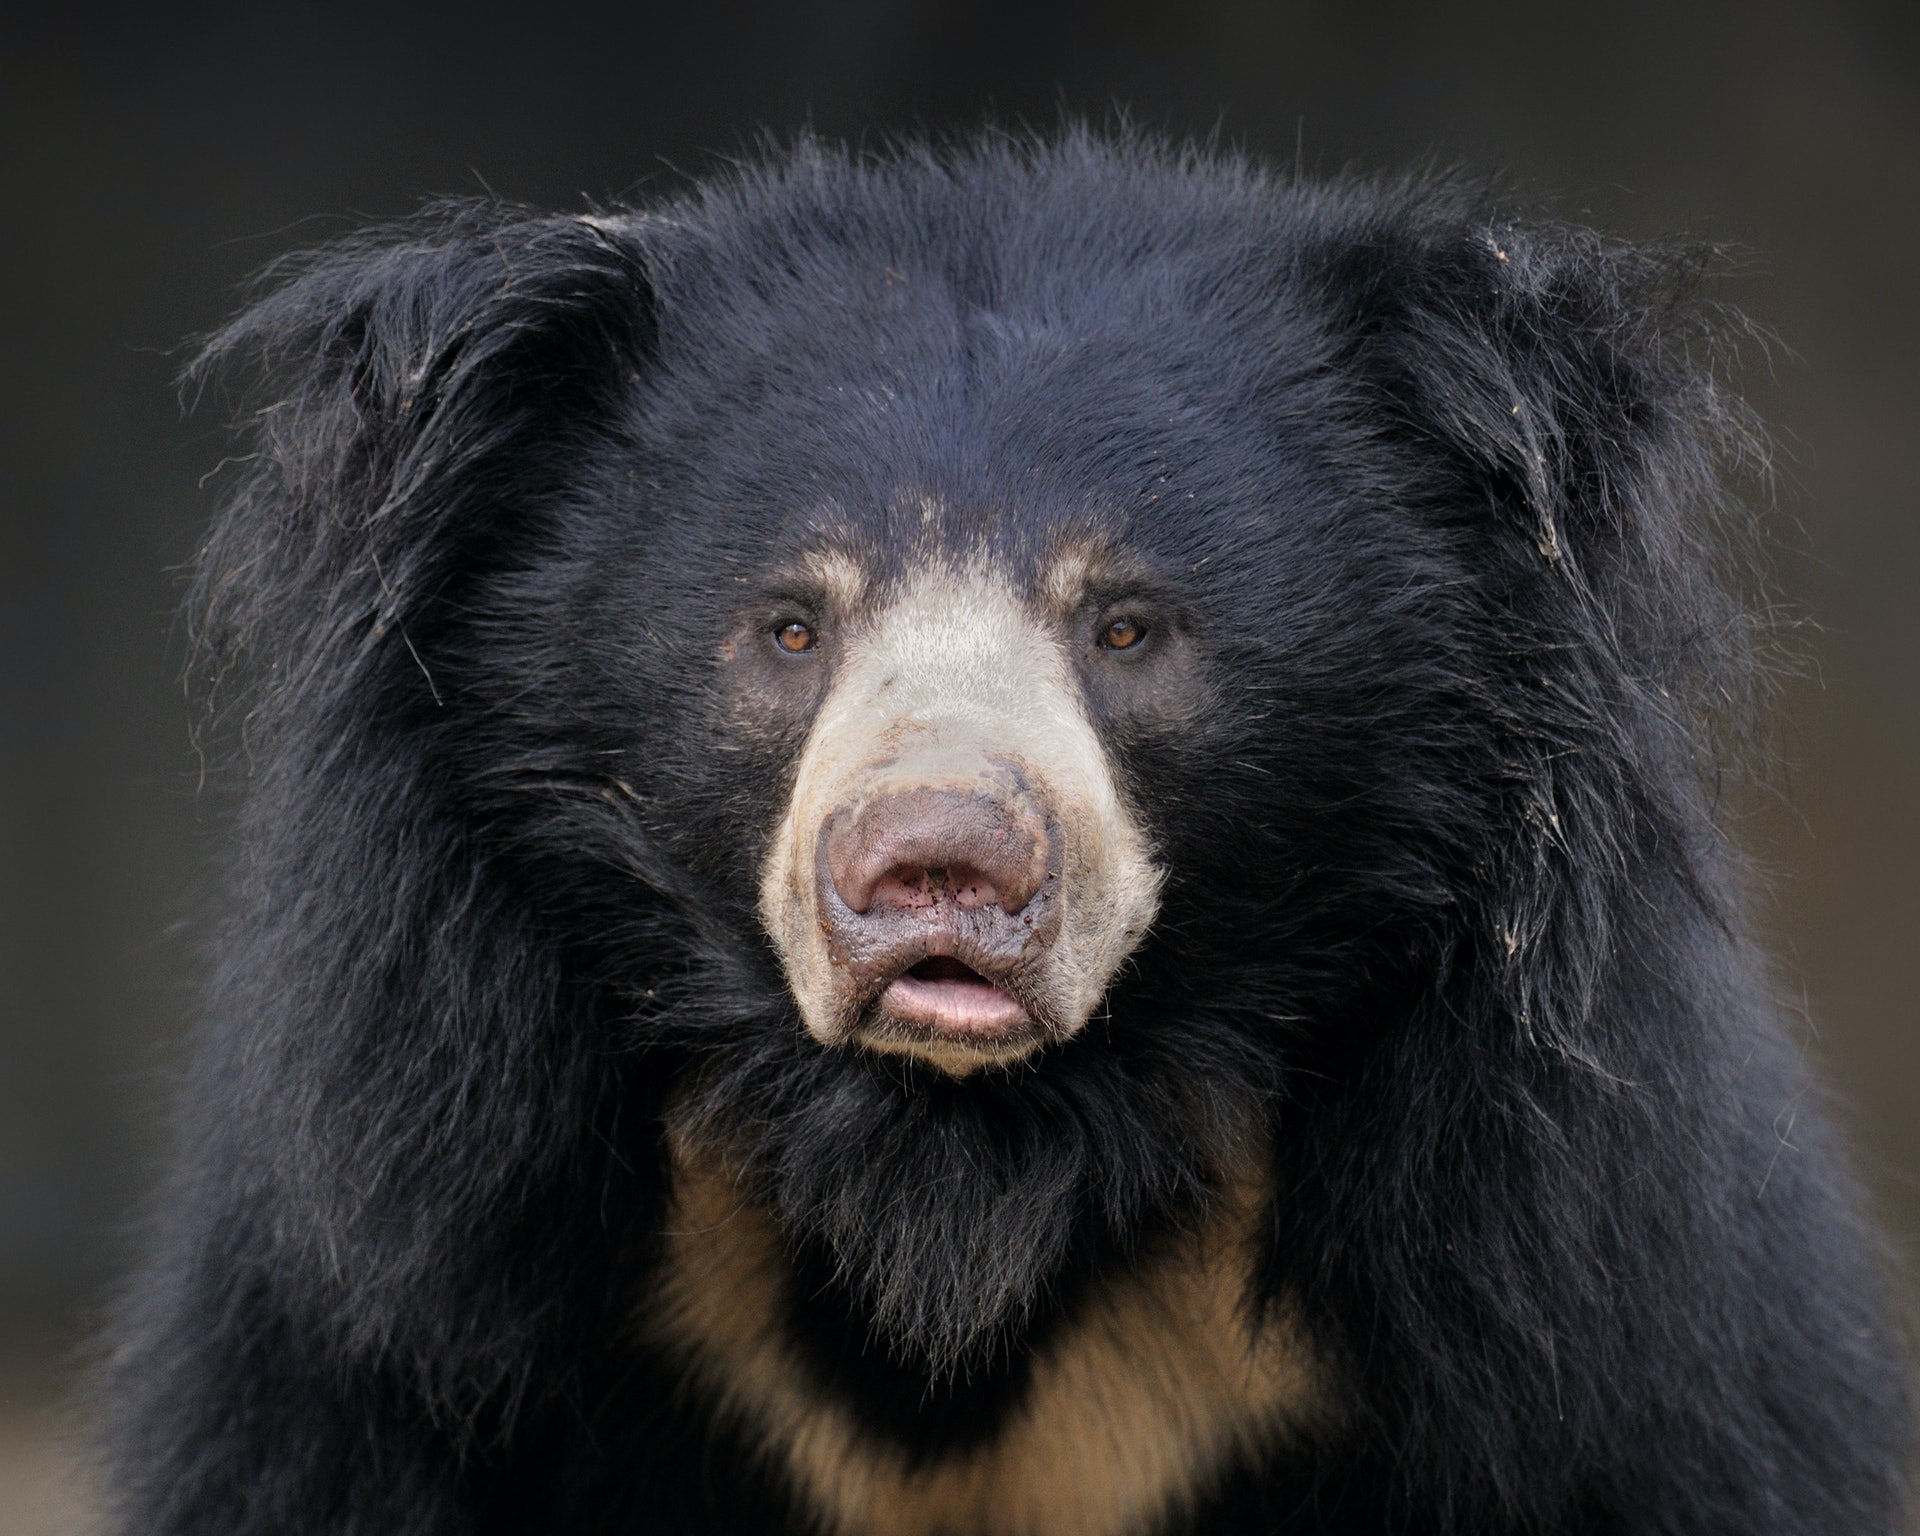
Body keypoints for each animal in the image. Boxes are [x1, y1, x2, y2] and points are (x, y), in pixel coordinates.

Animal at [101, 129, 1911, 1535]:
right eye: (788, 627)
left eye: (1127, 627)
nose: (938, 865)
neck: (964, 1176)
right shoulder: (407, 1300)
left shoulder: (1575, 1293)